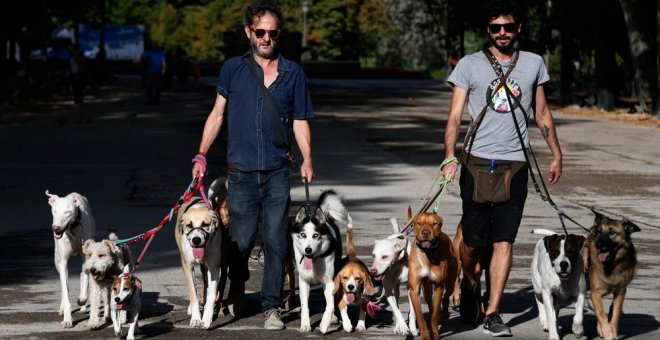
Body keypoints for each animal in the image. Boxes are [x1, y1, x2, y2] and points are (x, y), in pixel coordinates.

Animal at [46, 190, 96, 328]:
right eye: (55, 211)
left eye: (67, 212)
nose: (56, 228)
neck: (72, 229)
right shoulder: (62, 262)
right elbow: (65, 286)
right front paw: (67, 319)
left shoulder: (87, 258)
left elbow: (85, 278)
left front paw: (82, 300)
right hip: (56, 259)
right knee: (65, 285)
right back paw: (63, 307)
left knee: (83, 275)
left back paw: (83, 305)